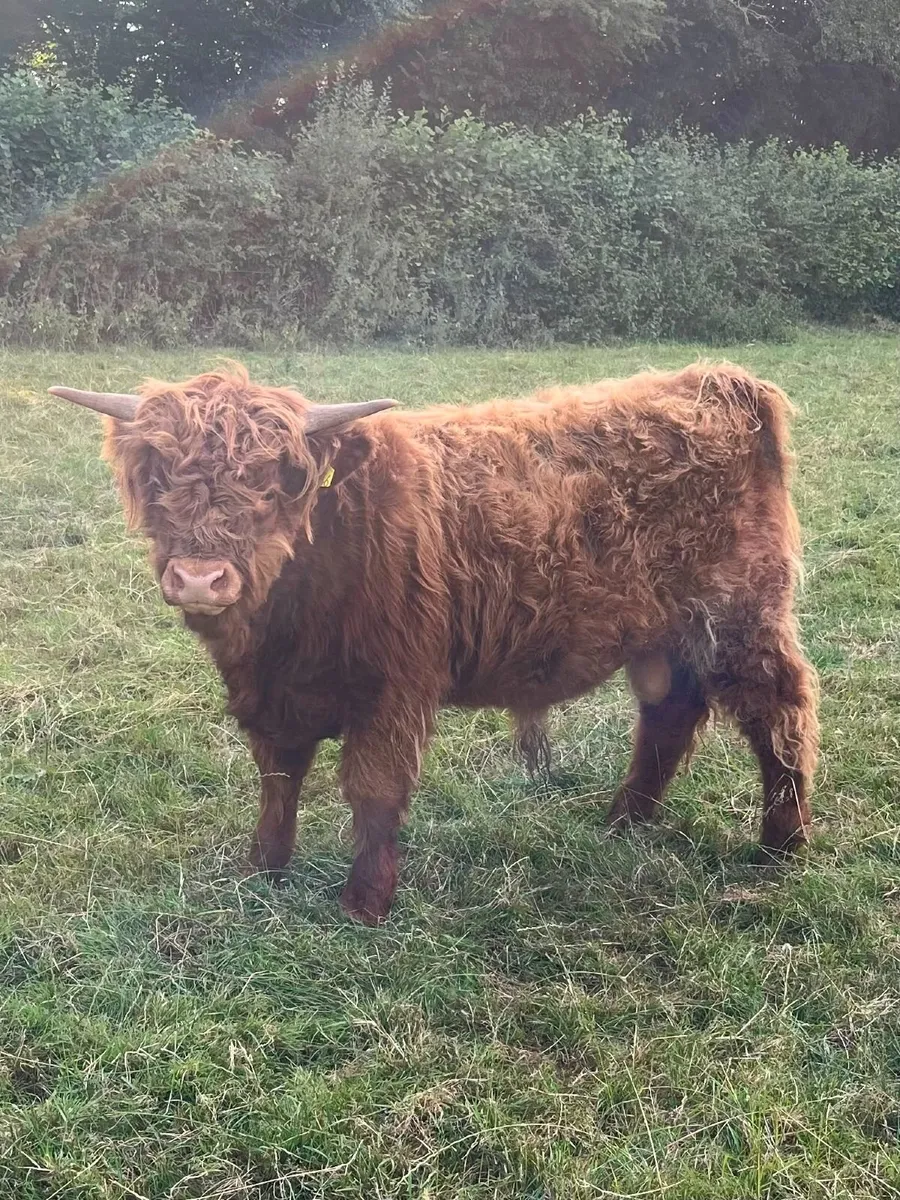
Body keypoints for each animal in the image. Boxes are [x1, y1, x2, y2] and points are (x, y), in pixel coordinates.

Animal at [50, 361, 819, 923]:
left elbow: (373, 790)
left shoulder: (394, 686)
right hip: (661, 634)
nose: (199, 578)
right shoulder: (272, 691)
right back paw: (624, 823)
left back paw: (781, 844)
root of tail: (717, 380)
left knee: (778, 711)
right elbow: (278, 775)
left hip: (739, 619)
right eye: (157, 474)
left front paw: (364, 903)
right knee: (669, 714)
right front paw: (263, 870)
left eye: (278, 479)